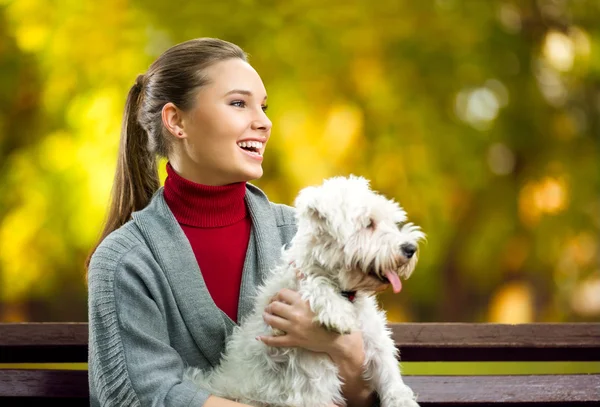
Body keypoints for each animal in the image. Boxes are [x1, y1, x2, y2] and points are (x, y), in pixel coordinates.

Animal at [185, 176, 424, 407]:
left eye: (392, 222)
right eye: (369, 224)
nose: (410, 249)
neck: (346, 292)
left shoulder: (374, 341)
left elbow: (389, 373)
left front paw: (402, 400)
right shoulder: (312, 378)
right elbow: (315, 283)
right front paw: (336, 314)